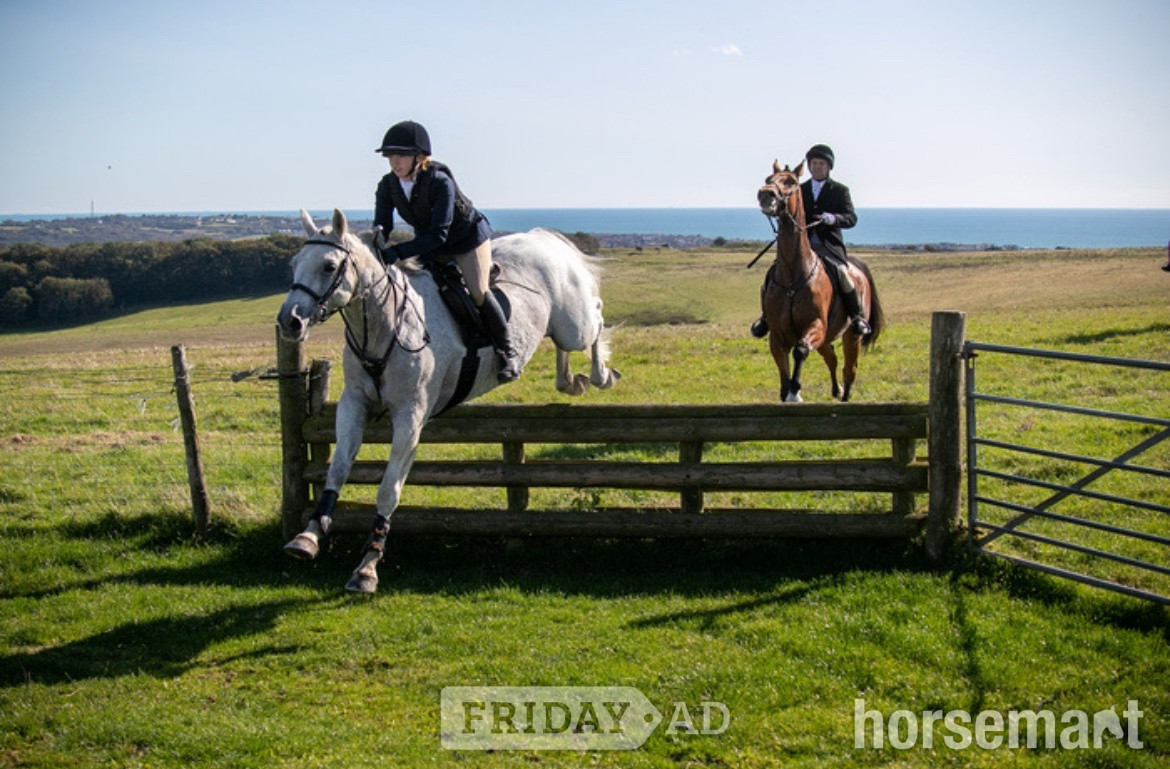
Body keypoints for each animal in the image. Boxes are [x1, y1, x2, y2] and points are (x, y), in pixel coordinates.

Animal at [277, 209, 619, 593]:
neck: (384, 325)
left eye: (328, 266)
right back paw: (570, 382)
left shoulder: (411, 416)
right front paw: (307, 536)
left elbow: (388, 490)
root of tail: (543, 238)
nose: (289, 322)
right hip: (557, 328)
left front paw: (367, 566)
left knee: (595, 318)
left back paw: (601, 375)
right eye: (295, 263)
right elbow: (336, 470)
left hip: (574, 324)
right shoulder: (354, 403)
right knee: (565, 347)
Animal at [756, 160, 884, 402]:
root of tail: (855, 266)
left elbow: (801, 350)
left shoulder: (816, 326)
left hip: (851, 336)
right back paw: (836, 389)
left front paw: (795, 393)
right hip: (826, 339)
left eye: (791, 182)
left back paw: (844, 394)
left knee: (849, 370)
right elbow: (783, 375)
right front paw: (788, 392)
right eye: (768, 179)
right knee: (831, 358)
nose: (765, 194)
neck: (792, 278)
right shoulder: (777, 336)